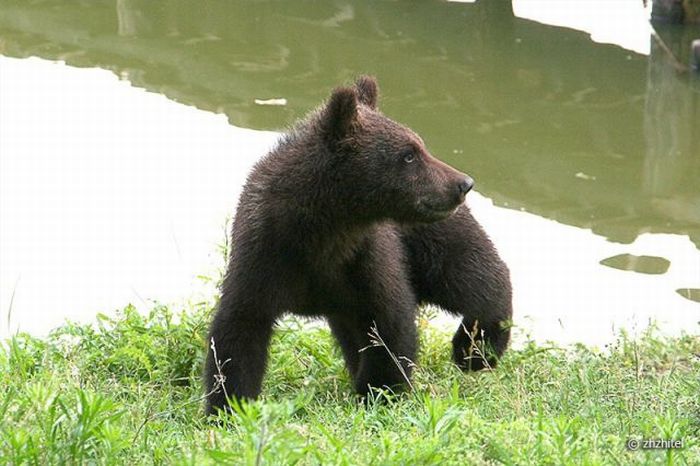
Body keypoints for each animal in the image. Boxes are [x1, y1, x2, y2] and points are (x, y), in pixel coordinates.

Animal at [205, 76, 512, 416]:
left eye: (418, 146)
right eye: (409, 154)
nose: (462, 183)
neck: (326, 229)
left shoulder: (366, 258)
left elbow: (390, 323)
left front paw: (380, 390)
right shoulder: (264, 256)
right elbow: (238, 334)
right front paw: (228, 406)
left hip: (427, 241)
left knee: (471, 275)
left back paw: (474, 349)